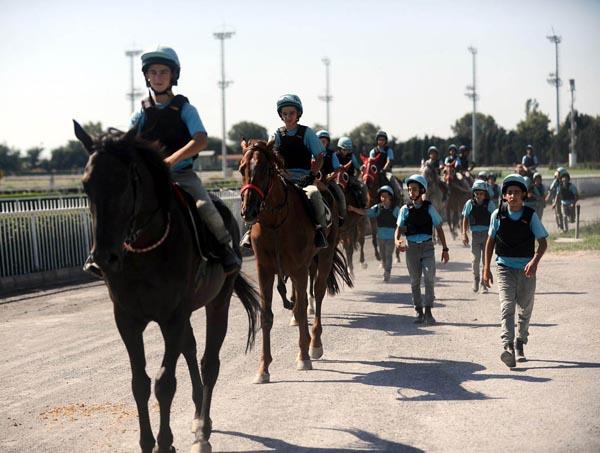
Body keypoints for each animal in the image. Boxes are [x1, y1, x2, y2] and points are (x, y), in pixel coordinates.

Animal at [74, 121, 258, 452]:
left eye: (123, 181)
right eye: (85, 185)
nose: (103, 257)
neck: (144, 249)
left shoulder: (171, 316)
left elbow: (164, 382)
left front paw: (164, 442)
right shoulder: (127, 319)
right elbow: (139, 383)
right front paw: (147, 442)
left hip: (218, 300)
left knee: (209, 361)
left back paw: (204, 425)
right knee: (190, 347)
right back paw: (197, 412)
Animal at [239, 139, 352, 384]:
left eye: (266, 170)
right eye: (242, 169)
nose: (248, 210)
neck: (276, 223)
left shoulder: (299, 268)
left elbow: (301, 310)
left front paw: (303, 357)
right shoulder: (264, 270)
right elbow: (266, 316)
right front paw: (263, 368)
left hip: (324, 256)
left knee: (317, 293)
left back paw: (315, 343)